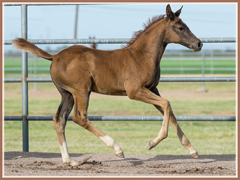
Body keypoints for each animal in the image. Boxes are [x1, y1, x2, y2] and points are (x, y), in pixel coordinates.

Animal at [12, 4, 202, 166]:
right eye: (180, 27)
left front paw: (192, 149)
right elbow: (167, 104)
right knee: (79, 117)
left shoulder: (152, 89)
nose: (199, 43)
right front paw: (152, 143)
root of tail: (55, 56)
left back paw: (70, 161)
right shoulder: (135, 91)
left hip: (67, 94)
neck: (142, 56)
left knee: (60, 119)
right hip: (81, 90)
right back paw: (117, 148)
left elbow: (169, 112)